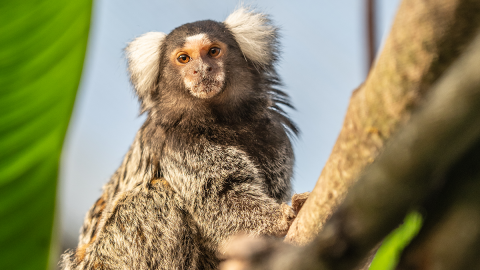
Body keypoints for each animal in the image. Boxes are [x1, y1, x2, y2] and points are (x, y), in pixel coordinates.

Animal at [60, 7, 300, 268]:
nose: (201, 70)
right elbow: (219, 201)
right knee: (153, 194)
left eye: (213, 51)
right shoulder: (179, 145)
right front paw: (280, 217)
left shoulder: (274, 135)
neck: (219, 119)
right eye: (184, 58)